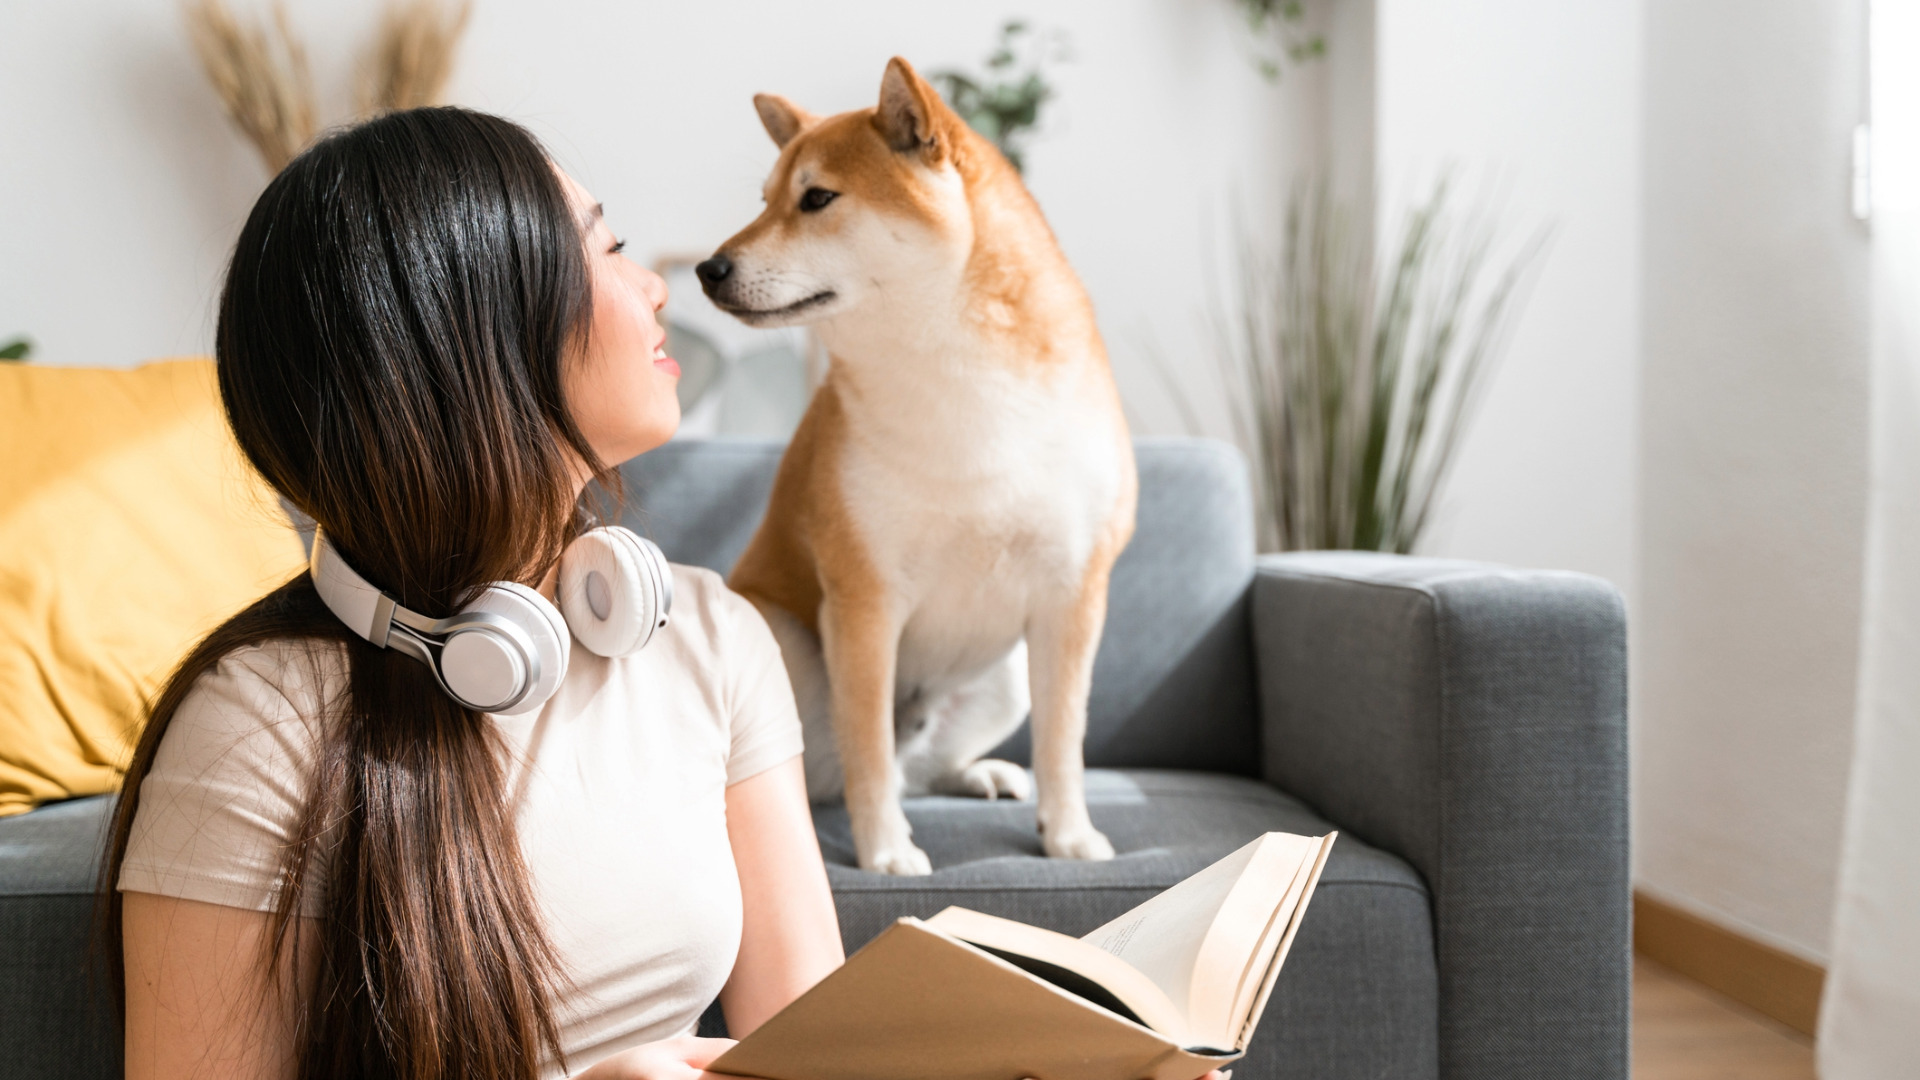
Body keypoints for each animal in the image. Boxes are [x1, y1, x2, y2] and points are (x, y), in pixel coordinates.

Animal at [698, 54, 1128, 868]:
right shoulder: (866, 599)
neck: (959, 386)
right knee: (844, 769)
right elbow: (867, 751)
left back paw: (984, 774)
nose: (710, 267)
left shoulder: (1072, 596)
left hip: (1006, 676)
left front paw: (1070, 832)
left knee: (922, 769)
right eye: (765, 201)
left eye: (817, 198)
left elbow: (1065, 739)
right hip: (778, 633)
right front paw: (885, 852)